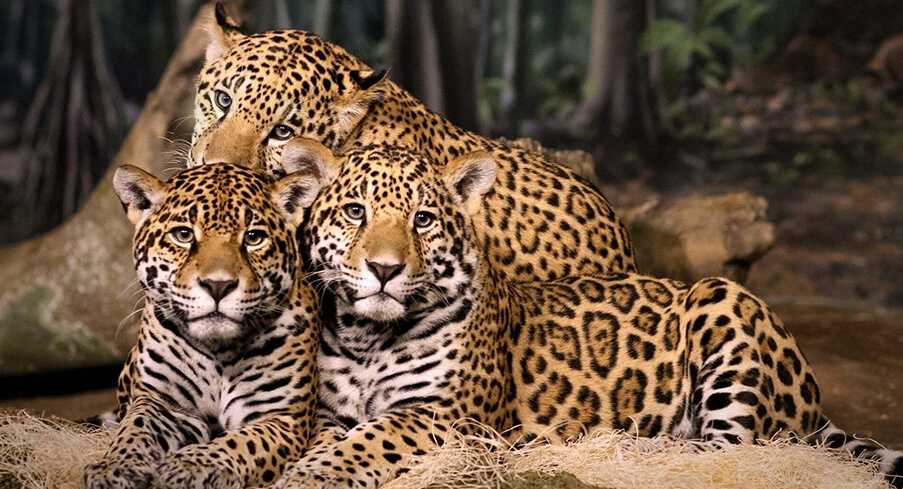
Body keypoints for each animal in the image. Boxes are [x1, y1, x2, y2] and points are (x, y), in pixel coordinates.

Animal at [84, 163, 322, 489]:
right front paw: (114, 467)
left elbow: (240, 442)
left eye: (253, 237)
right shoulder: (161, 402)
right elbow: (134, 430)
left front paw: (190, 465)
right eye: (183, 235)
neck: (220, 351)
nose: (218, 285)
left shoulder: (282, 418)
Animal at [270, 140, 903, 489]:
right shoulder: (329, 411)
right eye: (355, 211)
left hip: (723, 297)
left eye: (422, 219)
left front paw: (312, 476)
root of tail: (815, 403)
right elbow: (336, 437)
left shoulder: (445, 416)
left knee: (729, 451)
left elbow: (372, 438)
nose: (385, 269)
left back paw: (630, 448)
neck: (366, 337)